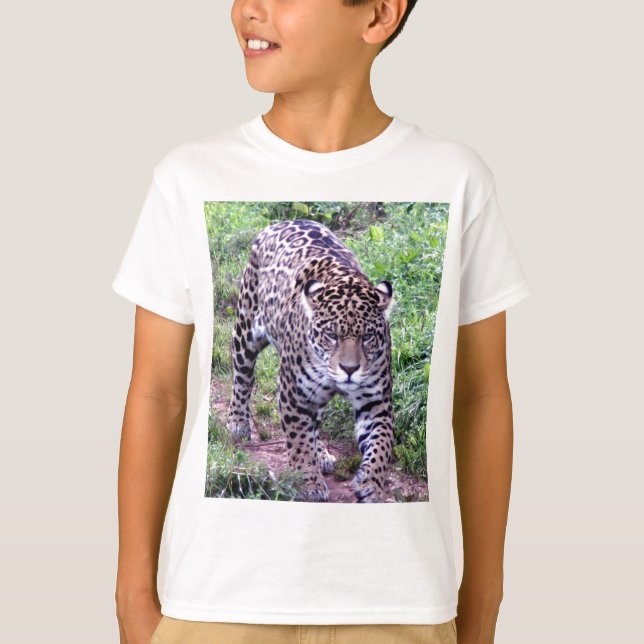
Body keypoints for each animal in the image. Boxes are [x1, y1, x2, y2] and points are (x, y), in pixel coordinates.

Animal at [227, 218, 395, 503]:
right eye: (331, 335)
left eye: (368, 336)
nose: (349, 369)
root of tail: (284, 221)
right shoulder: (293, 393)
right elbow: (298, 441)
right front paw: (308, 483)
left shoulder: (375, 402)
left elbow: (382, 442)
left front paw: (372, 483)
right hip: (245, 329)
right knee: (242, 378)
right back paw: (237, 422)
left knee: (315, 421)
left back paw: (323, 454)